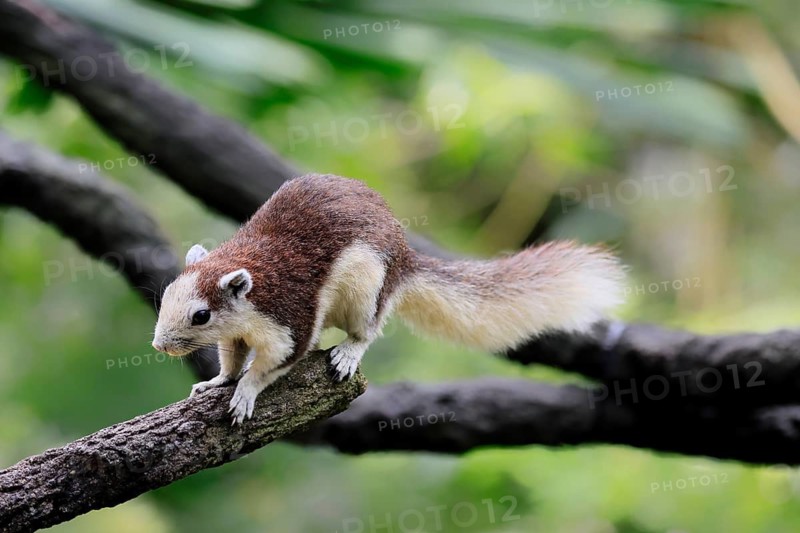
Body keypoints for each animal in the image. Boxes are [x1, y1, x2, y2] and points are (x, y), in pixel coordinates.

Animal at [152, 174, 625, 424]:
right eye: (166, 295)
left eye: (201, 315)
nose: (158, 345)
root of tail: (404, 259)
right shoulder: (236, 335)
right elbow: (232, 359)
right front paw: (218, 381)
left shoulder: (289, 320)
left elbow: (272, 364)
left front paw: (245, 394)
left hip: (367, 288)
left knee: (369, 330)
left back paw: (347, 352)